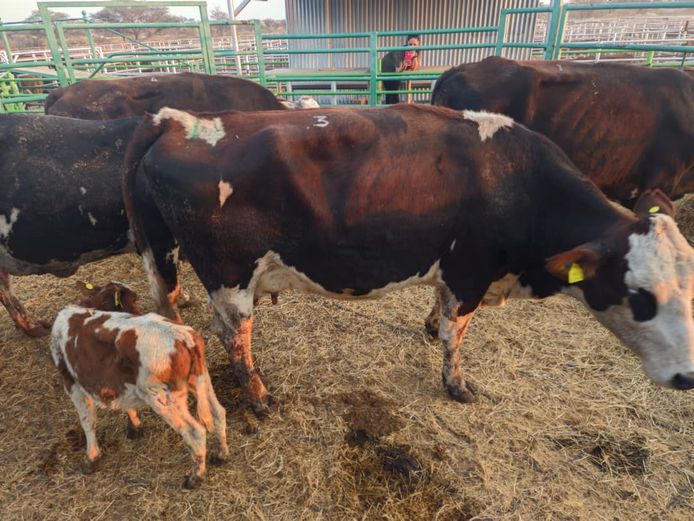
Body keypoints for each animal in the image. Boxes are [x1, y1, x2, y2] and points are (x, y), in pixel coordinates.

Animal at [51, 281, 228, 488]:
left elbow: (88, 421)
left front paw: (92, 459)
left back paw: (195, 477)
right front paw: (134, 426)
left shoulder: (72, 383)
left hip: (163, 399)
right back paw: (222, 454)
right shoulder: (118, 381)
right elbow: (125, 404)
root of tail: (183, 337)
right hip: (202, 380)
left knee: (195, 432)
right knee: (218, 413)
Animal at [121, 104, 694, 418]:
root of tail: (177, 119)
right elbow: (455, 334)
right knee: (233, 336)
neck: (519, 180)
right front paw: (456, 385)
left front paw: (427, 328)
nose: (688, 377)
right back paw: (259, 395)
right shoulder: (471, 270)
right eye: (641, 295)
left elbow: (440, 316)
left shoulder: (455, 271)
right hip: (230, 275)